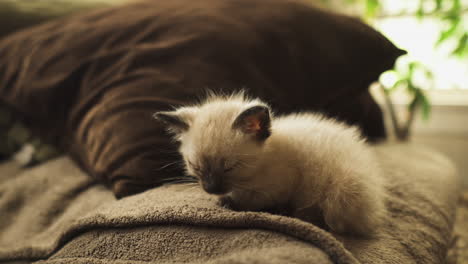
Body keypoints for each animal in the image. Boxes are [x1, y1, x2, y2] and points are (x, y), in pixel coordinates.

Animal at [154, 93, 384, 237]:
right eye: (196, 167)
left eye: (229, 167)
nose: (210, 189)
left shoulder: (282, 185)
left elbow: (252, 201)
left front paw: (228, 202)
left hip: (338, 191)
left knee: (324, 218)